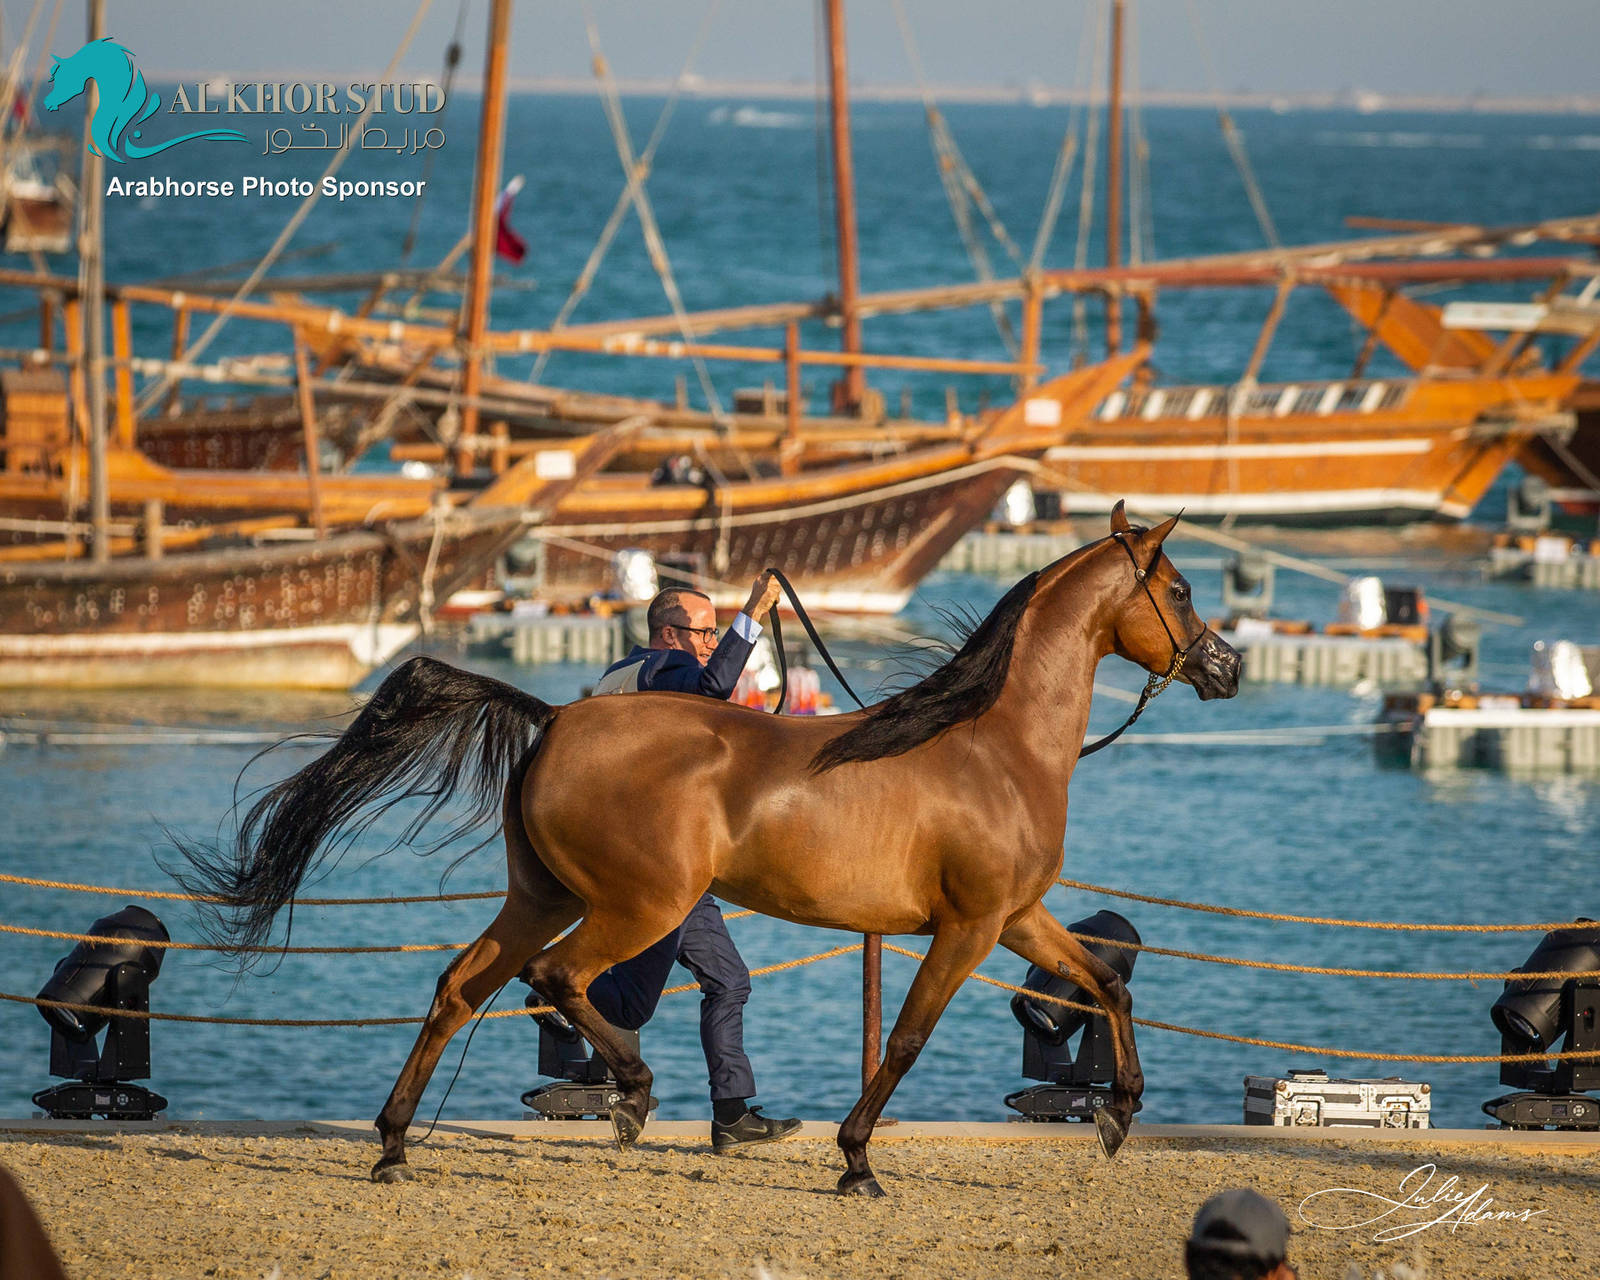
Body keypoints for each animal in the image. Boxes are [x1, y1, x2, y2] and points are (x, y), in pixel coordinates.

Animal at [176, 502, 1241, 1196]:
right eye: (1183, 589)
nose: (1225, 668)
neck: (994, 743)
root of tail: (556, 719)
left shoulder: (1019, 917)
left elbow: (1108, 987)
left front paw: (1119, 1113)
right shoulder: (970, 925)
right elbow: (906, 1038)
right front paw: (856, 1162)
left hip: (543, 896)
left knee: (460, 988)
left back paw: (396, 1147)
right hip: (634, 907)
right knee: (556, 982)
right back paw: (631, 1096)